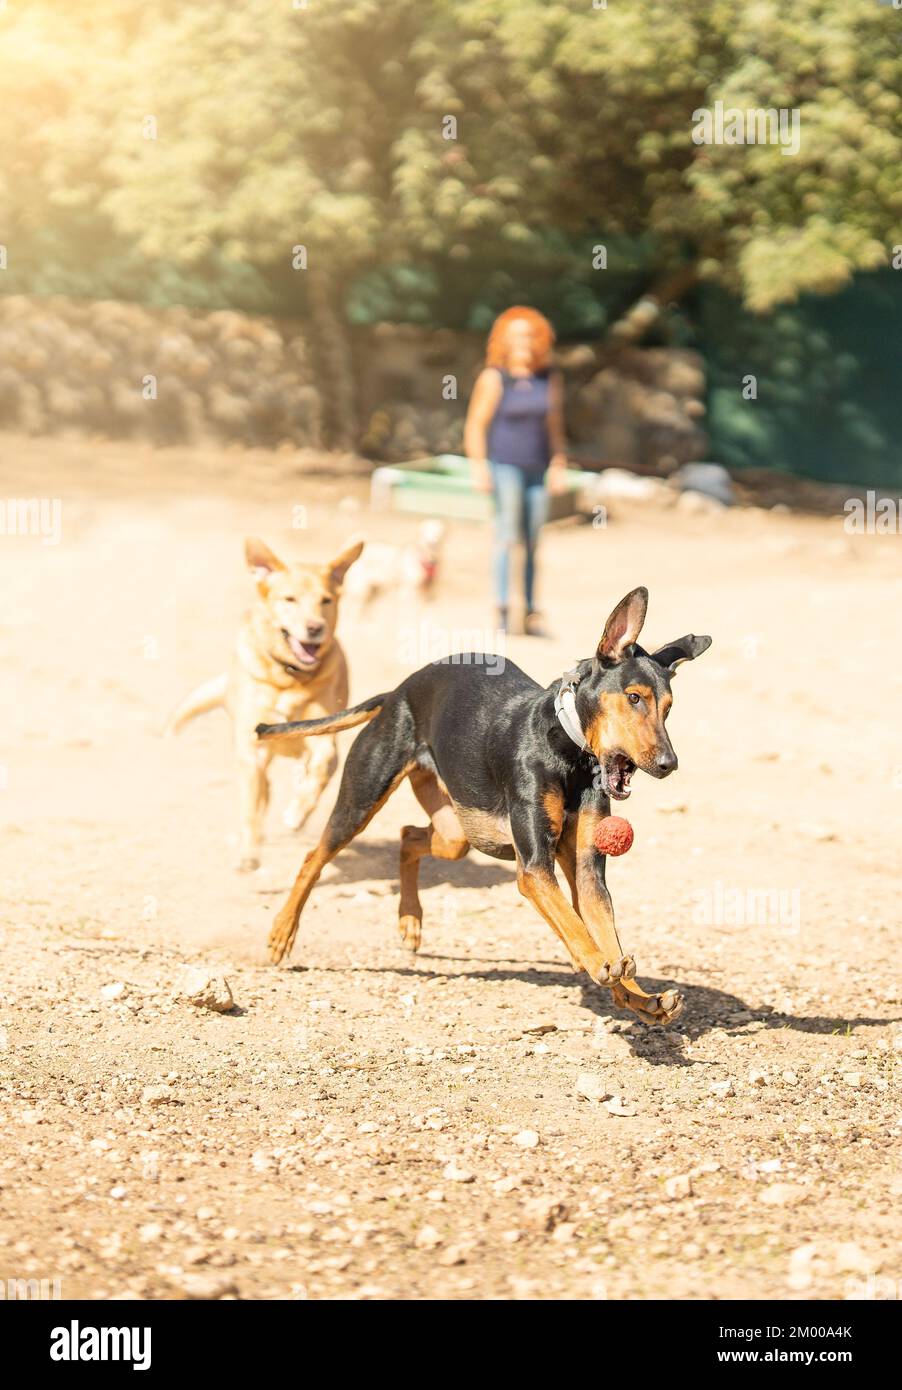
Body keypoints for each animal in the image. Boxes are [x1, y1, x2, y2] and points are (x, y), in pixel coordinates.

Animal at [166, 533, 364, 867]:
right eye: (289, 599)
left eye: (326, 600)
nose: (315, 628)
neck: (289, 677)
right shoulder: (251, 749)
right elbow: (249, 807)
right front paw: (248, 853)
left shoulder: (324, 735)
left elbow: (321, 766)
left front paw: (297, 813)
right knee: (261, 794)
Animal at [255, 586, 711, 1023]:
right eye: (634, 698)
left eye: (668, 708)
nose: (669, 764)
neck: (566, 752)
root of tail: (399, 691)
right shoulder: (534, 869)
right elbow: (577, 927)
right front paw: (600, 965)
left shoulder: (585, 868)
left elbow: (600, 928)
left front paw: (641, 999)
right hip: (363, 798)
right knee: (314, 857)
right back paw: (281, 933)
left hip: (458, 831)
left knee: (408, 836)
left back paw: (409, 920)